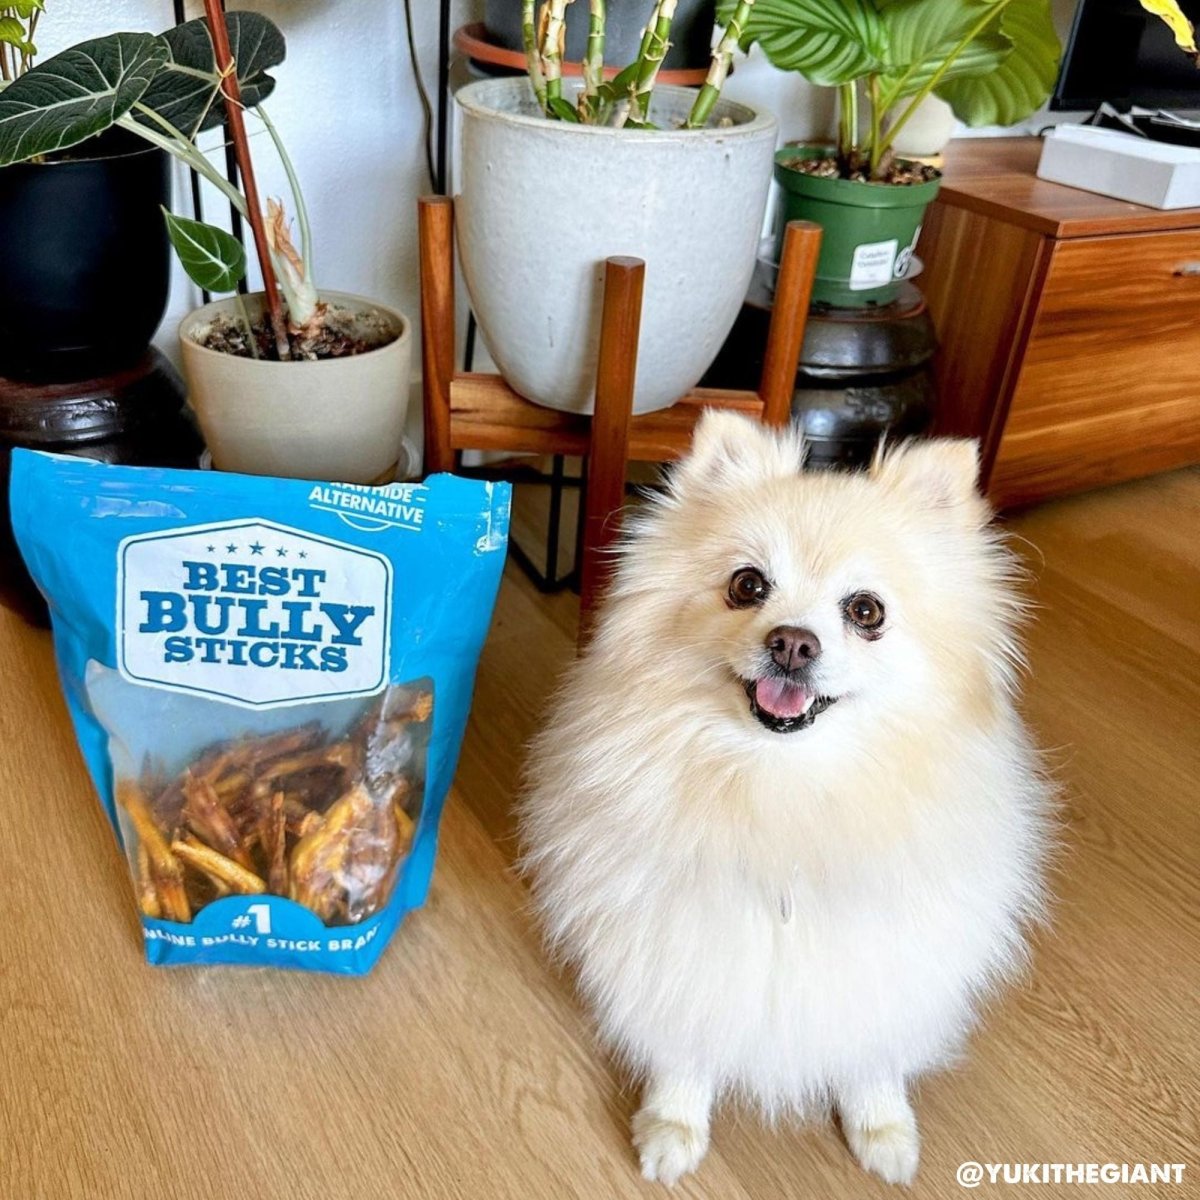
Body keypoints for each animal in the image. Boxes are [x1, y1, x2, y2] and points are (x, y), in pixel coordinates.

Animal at [518, 412, 1051, 1190]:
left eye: (866, 611)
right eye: (747, 585)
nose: (793, 643)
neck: (781, 791)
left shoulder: (883, 956)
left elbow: (871, 1047)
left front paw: (881, 1126)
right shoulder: (682, 939)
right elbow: (686, 1033)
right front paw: (673, 1123)